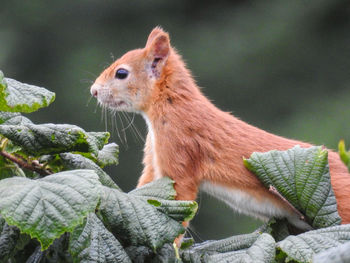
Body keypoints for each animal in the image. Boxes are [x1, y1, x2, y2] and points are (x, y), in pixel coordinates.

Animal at [91, 27, 350, 231]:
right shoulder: (154, 157)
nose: (93, 91)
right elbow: (147, 186)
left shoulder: (180, 149)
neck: (171, 105)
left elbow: (179, 195)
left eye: (121, 73)